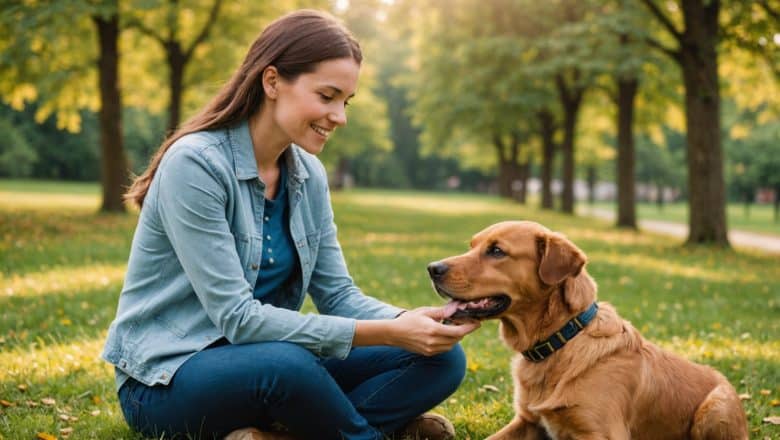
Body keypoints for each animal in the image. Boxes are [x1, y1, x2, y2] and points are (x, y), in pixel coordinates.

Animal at [430, 223, 748, 440]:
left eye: (497, 251)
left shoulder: (602, 432)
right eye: (472, 245)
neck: (559, 343)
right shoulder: (527, 421)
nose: (432, 268)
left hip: (714, 408)